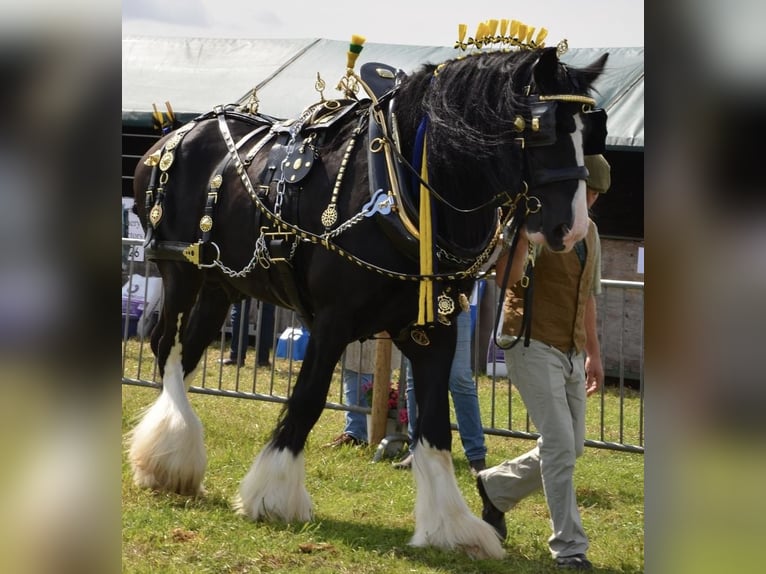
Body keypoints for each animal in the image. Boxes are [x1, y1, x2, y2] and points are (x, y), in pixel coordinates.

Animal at [134, 47, 612, 560]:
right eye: (543, 128)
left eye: (590, 131)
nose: (572, 228)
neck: (403, 185)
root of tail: (174, 134)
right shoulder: (331, 321)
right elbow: (307, 400)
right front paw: (273, 494)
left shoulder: (433, 329)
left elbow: (435, 424)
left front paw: (452, 526)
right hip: (180, 270)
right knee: (166, 347)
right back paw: (166, 453)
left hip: (221, 286)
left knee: (187, 352)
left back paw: (173, 460)